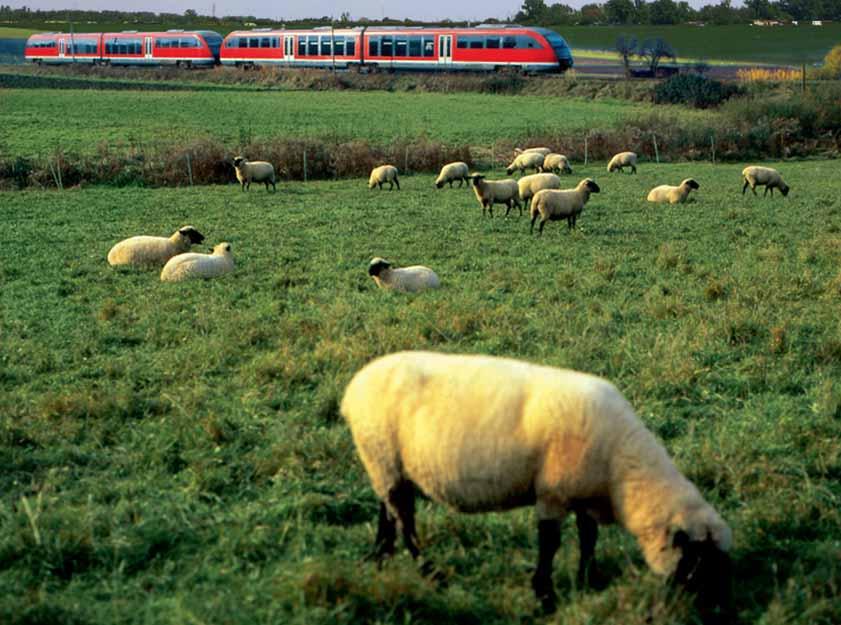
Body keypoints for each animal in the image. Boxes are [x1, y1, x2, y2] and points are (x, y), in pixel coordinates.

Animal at [344, 352, 732, 616]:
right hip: (380, 451)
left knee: (387, 509)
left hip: (387, 464)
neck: (620, 470)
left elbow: (588, 537)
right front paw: (545, 596)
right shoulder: (552, 492)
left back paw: (380, 557)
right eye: (698, 560)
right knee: (405, 520)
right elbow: (550, 544)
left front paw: (588, 580)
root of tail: (354, 387)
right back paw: (430, 573)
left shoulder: (582, 493)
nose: (717, 609)